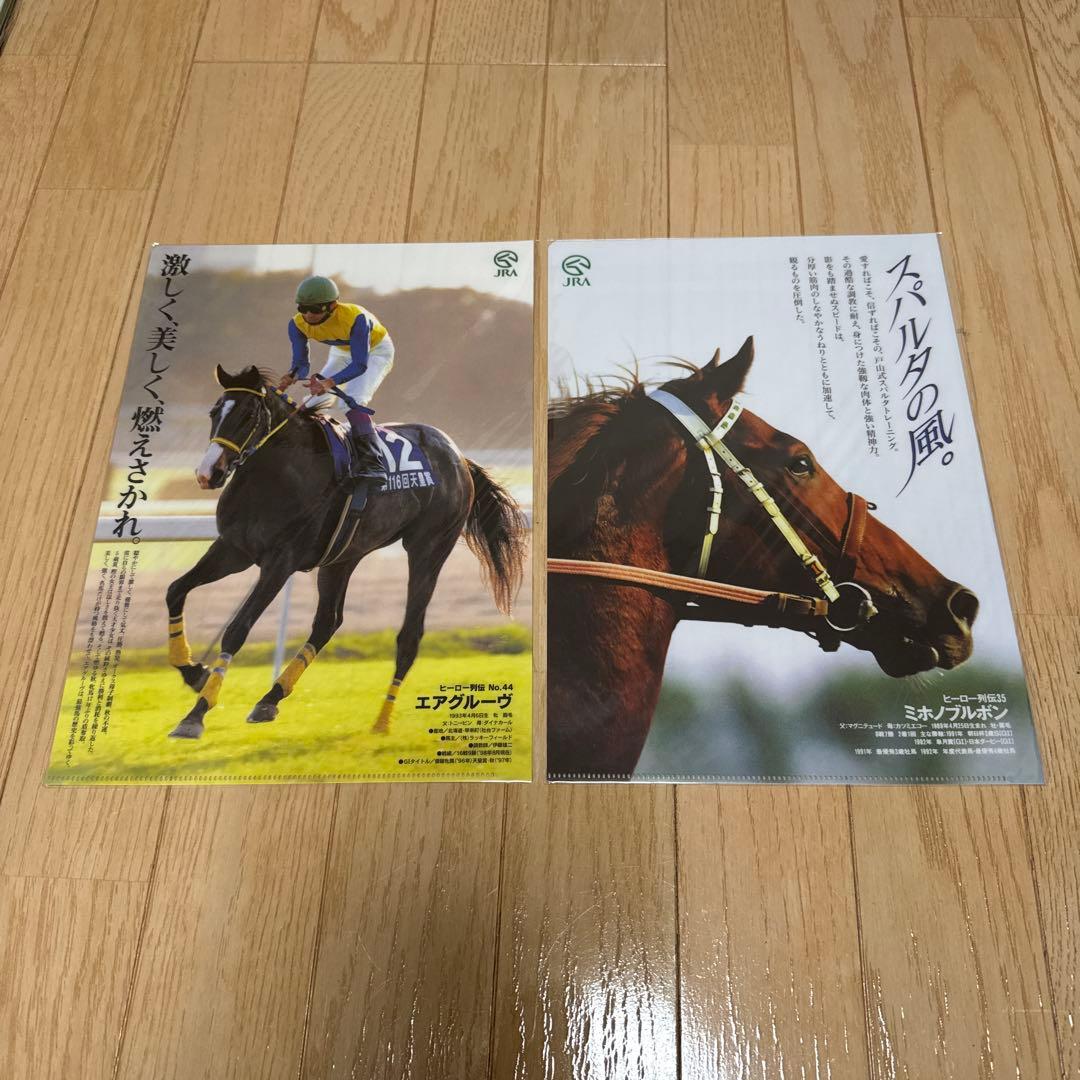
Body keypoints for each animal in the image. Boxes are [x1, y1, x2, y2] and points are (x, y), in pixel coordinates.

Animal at [165, 364, 526, 740]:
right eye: (214, 412)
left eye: (248, 414)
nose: (208, 473)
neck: (278, 476)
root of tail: (459, 457)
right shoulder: (233, 549)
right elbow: (175, 590)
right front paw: (193, 672)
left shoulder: (280, 561)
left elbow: (237, 629)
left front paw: (195, 714)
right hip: (343, 556)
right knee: (328, 622)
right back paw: (270, 699)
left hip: (429, 547)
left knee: (409, 636)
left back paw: (382, 719)